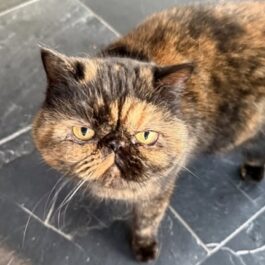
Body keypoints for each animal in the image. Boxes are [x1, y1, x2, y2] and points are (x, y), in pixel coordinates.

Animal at [32, 2, 264, 260]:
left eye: (146, 135)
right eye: (84, 131)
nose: (116, 144)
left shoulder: (159, 189)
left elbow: (147, 219)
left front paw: (144, 248)